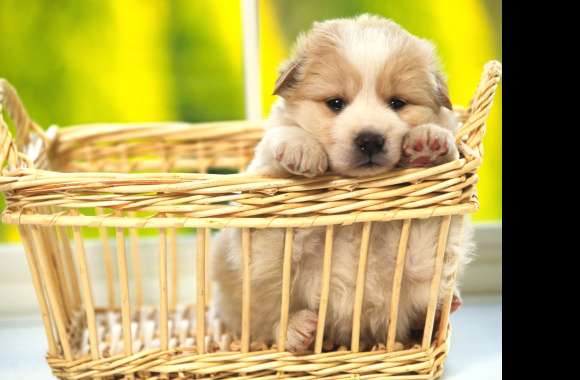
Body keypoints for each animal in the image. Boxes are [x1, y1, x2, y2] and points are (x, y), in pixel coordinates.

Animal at [211, 14, 474, 354]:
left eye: (397, 103)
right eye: (336, 103)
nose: (370, 139)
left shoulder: (416, 258)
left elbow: (425, 237)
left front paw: (429, 143)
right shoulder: (265, 251)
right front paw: (300, 149)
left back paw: (447, 304)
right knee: (269, 323)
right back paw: (302, 330)